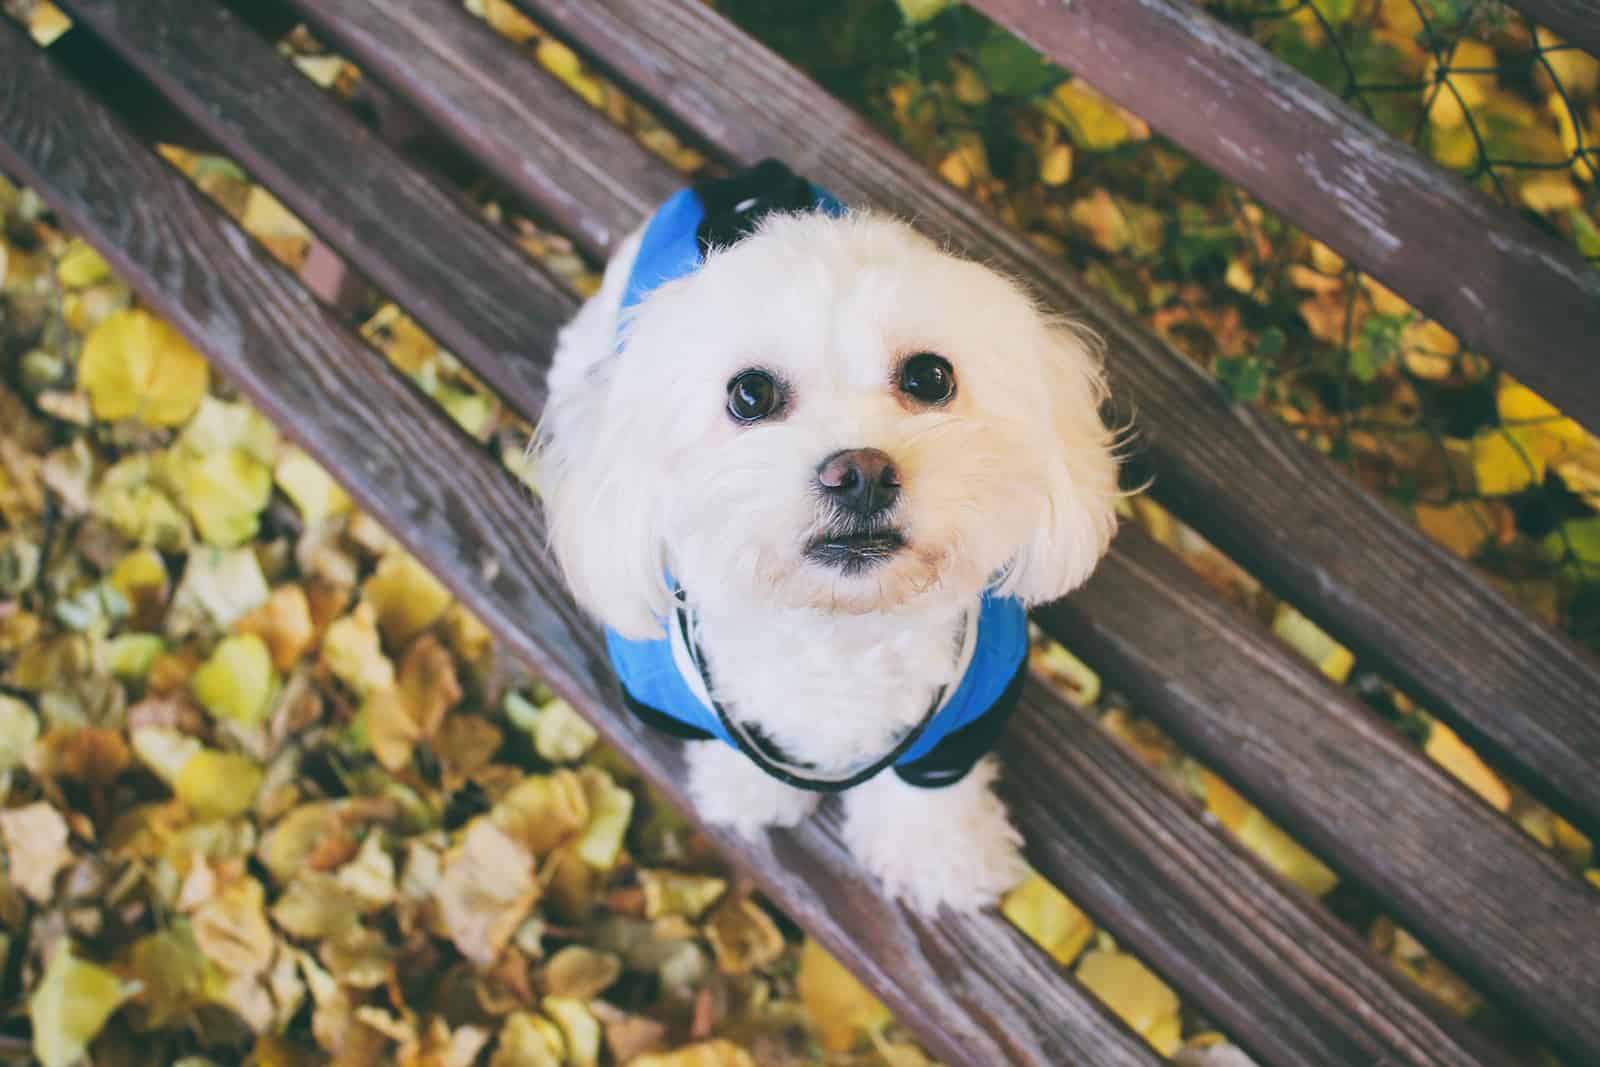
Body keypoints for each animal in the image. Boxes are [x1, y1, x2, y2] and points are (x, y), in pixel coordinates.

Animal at [537, 171, 1113, 915]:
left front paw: (937, 855)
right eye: (749, 394)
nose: (861, 473)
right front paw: (749, 788)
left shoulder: (963, 717)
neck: (840, 635)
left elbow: (927, 789)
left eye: (931, 377)